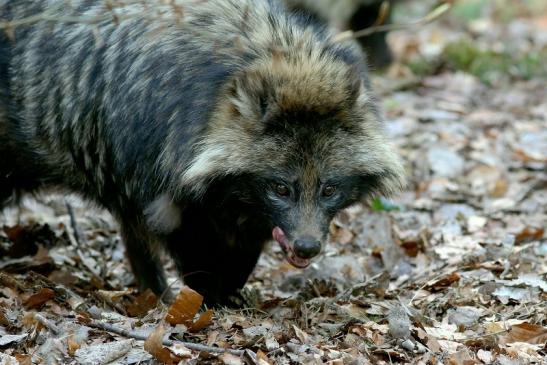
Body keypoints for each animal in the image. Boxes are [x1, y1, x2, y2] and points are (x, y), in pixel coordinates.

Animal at [0, 0, 402, 304]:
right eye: (281, 188)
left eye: (329, 189)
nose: (306, 248)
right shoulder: (167, 204)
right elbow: (200, 270)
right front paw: (208, 306)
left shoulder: (245, 219)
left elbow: (237, 264)